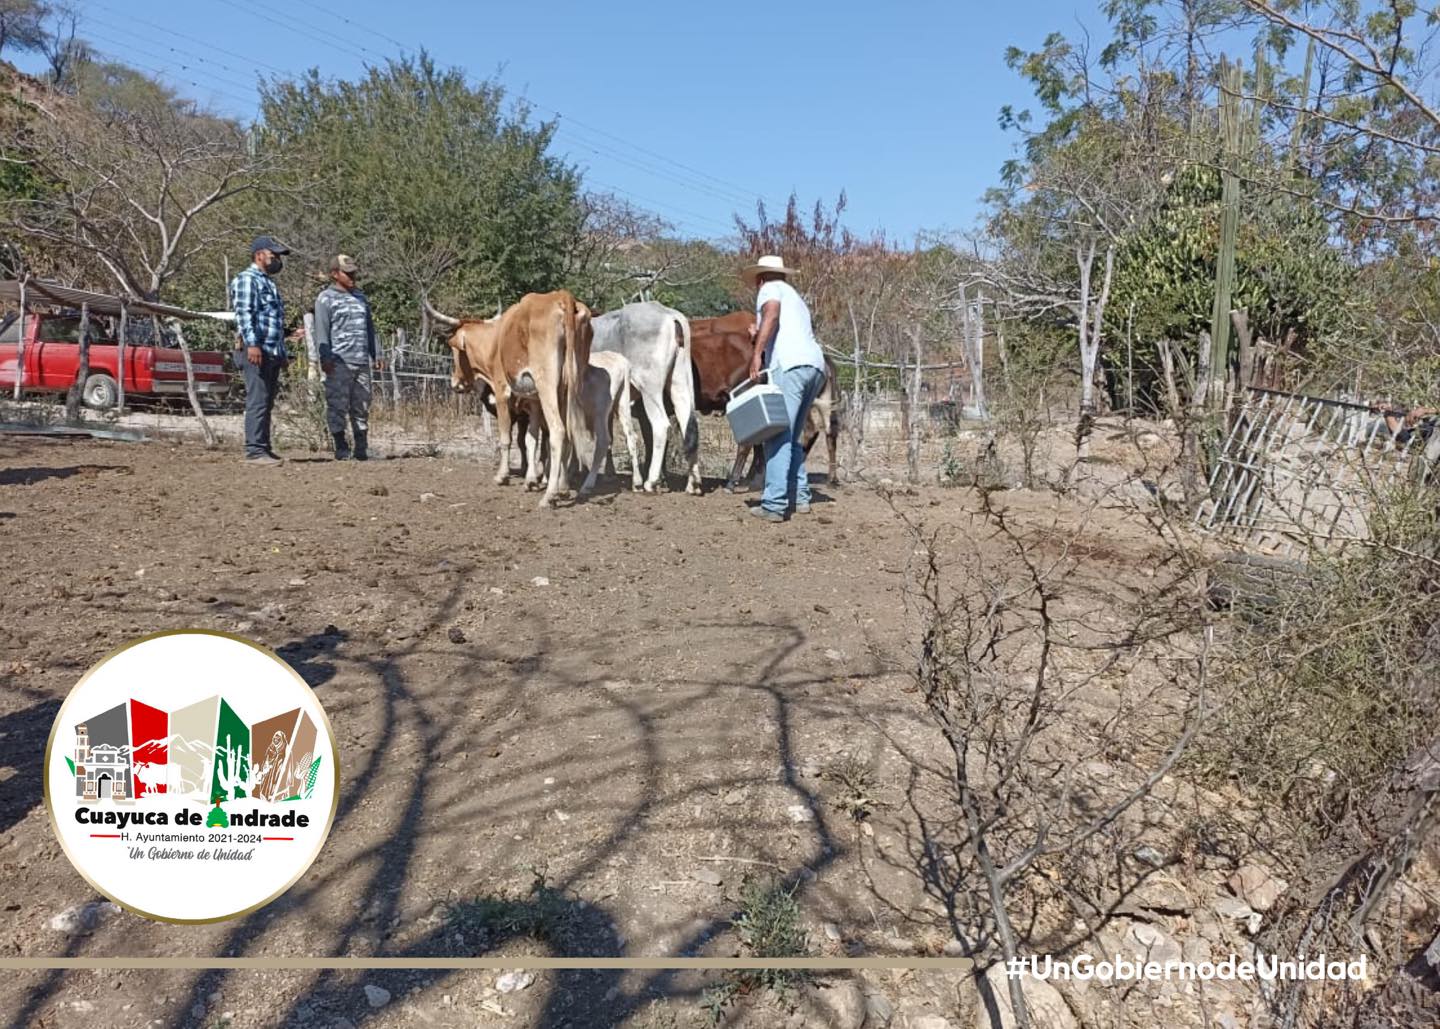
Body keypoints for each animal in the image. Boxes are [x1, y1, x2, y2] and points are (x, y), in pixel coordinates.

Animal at [423, 289, 587, 506]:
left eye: (454, 349)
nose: (455, 382)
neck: (495, 343)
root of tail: (561, 296)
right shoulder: (533, 403)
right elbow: (529, 440)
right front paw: (530, 479)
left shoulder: (503, 394)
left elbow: (505, 438)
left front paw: (503, 475)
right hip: (569, 389)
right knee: (568, 433)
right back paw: (564, 487)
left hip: (547, 387)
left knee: (558, 432)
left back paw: (549, 495)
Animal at [581, 302, 699, 495]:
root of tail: (669, 315)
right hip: (679, 380)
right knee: (689, 422)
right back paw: (693, 484)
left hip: (649, 387)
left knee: (661, 425)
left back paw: (651, 481)